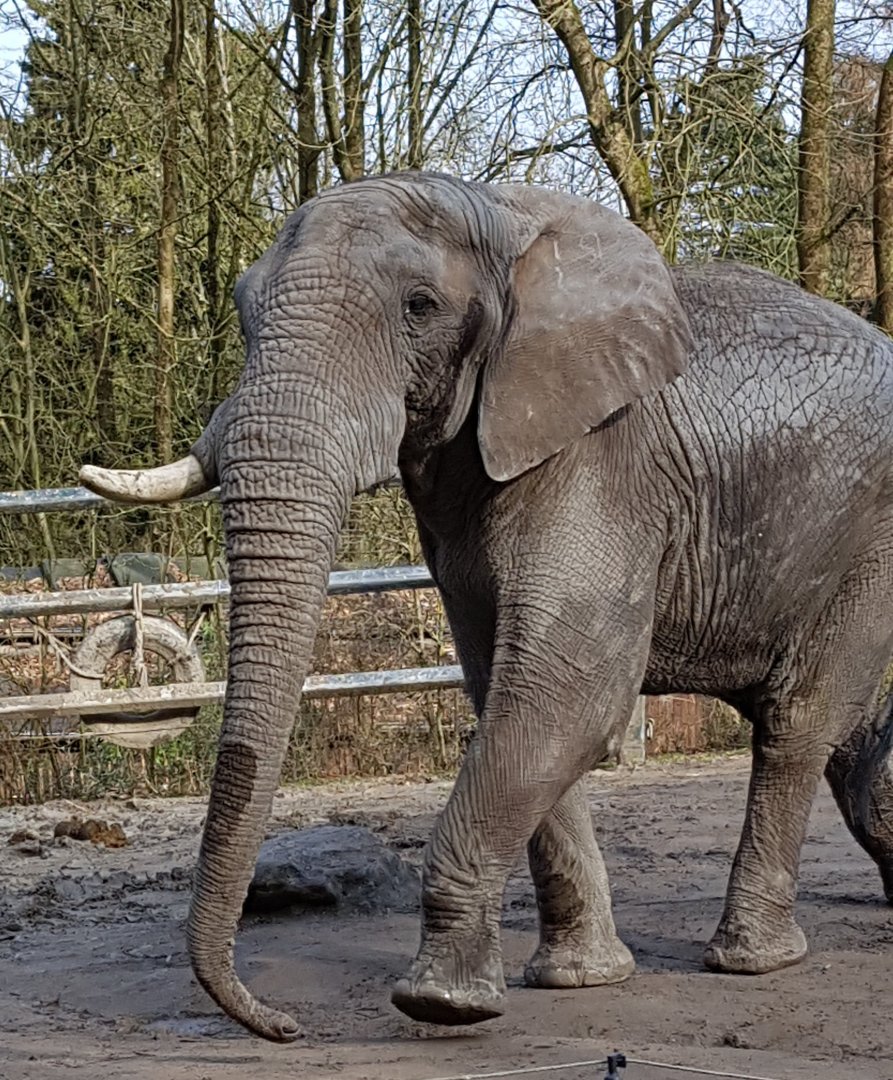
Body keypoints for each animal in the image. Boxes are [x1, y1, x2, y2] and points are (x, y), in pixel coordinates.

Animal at [79, 171, 893, 1043]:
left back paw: (752, 961)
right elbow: (507, 691)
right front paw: (574, 981)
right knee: (835, 726)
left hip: (870, 531)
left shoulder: (601, 462)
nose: (284, 1024)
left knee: (797, 720)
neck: (498, 213)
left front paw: (439, 1004)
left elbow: (566, 694)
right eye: (241, 308)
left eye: (420, 306)